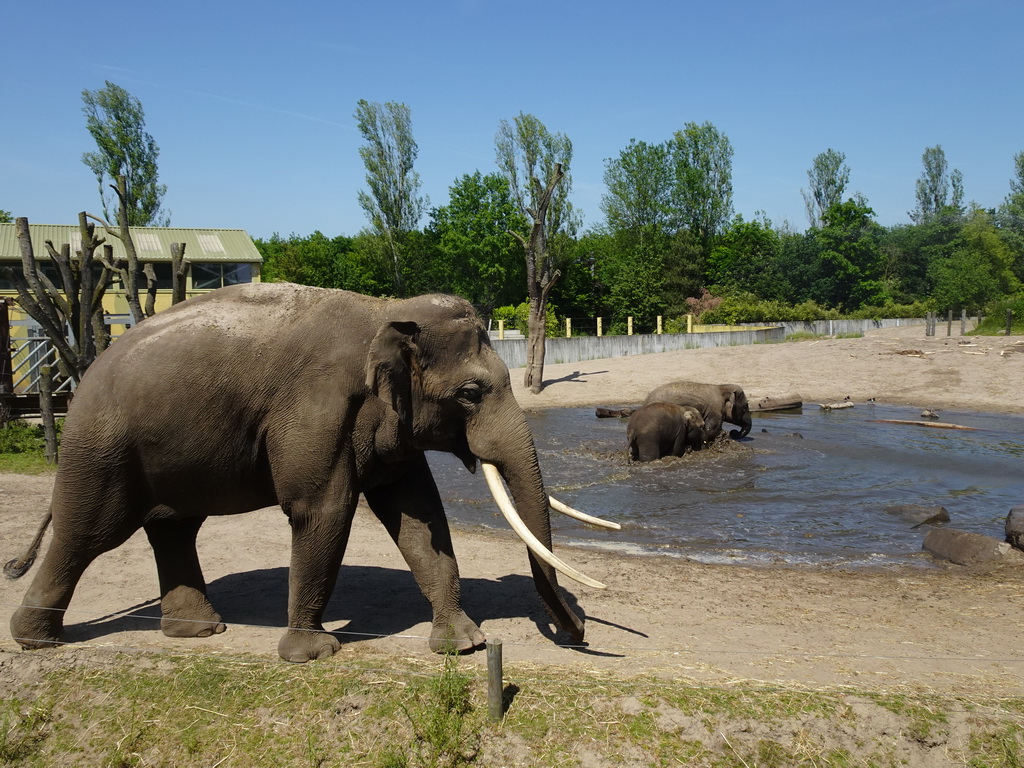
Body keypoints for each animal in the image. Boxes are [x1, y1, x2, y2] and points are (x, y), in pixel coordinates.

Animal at [8, 282, 610, 663]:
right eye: (470, 394)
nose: (579, 635)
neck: (384, 313)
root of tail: (81, 375)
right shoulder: (316, 408)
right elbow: (323, 509)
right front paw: (311, 654)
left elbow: (419, 516)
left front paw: (464, 645)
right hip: (103, 451)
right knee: (90, 532)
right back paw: (37, 640)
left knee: (173, 527)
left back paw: (197, 631)